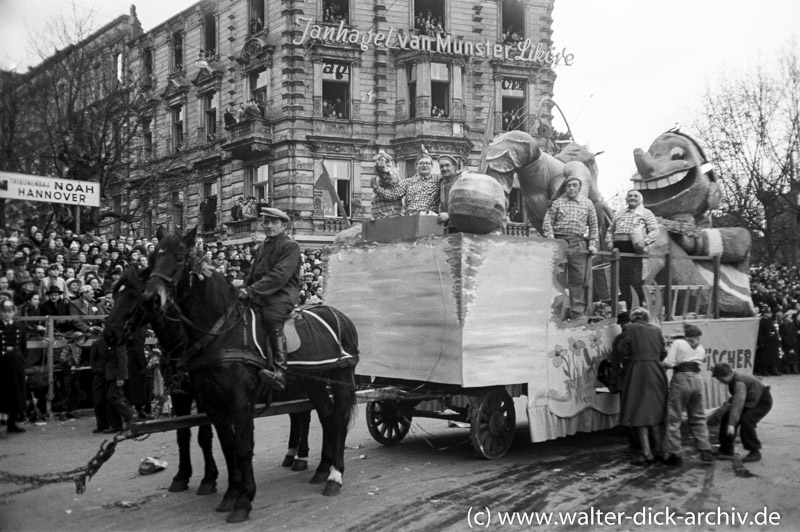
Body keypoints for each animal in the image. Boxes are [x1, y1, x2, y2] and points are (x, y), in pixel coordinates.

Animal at [141, 229, 360, 524]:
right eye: (153, 257)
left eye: (179, 257)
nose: (151, 298)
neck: (220, 332)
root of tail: (339, 315)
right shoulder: (212, 402)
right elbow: (227, 445)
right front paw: (231, 493)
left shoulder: (240, 400)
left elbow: (244, 446)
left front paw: (244, 500)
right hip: (313, 383)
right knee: (327, 417)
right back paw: (322, 470)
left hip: (342, 377)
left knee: (338, 419)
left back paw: (335, 476)